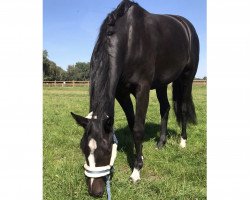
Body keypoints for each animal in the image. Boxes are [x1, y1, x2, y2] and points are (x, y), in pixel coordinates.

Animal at [71, 0, 199, 197]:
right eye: (83, 147)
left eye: (106, 149)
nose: (95, 191)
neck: (130, 39)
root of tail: (186, 25)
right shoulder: (121, 93)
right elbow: (132, 125)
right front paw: (141, 156)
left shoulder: (142, 89)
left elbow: (138, 128)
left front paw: (136, 171)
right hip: (162, 83)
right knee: (165, 108)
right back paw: (161, 143)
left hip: (187, 77)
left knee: (183, 108)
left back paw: (183, 142)